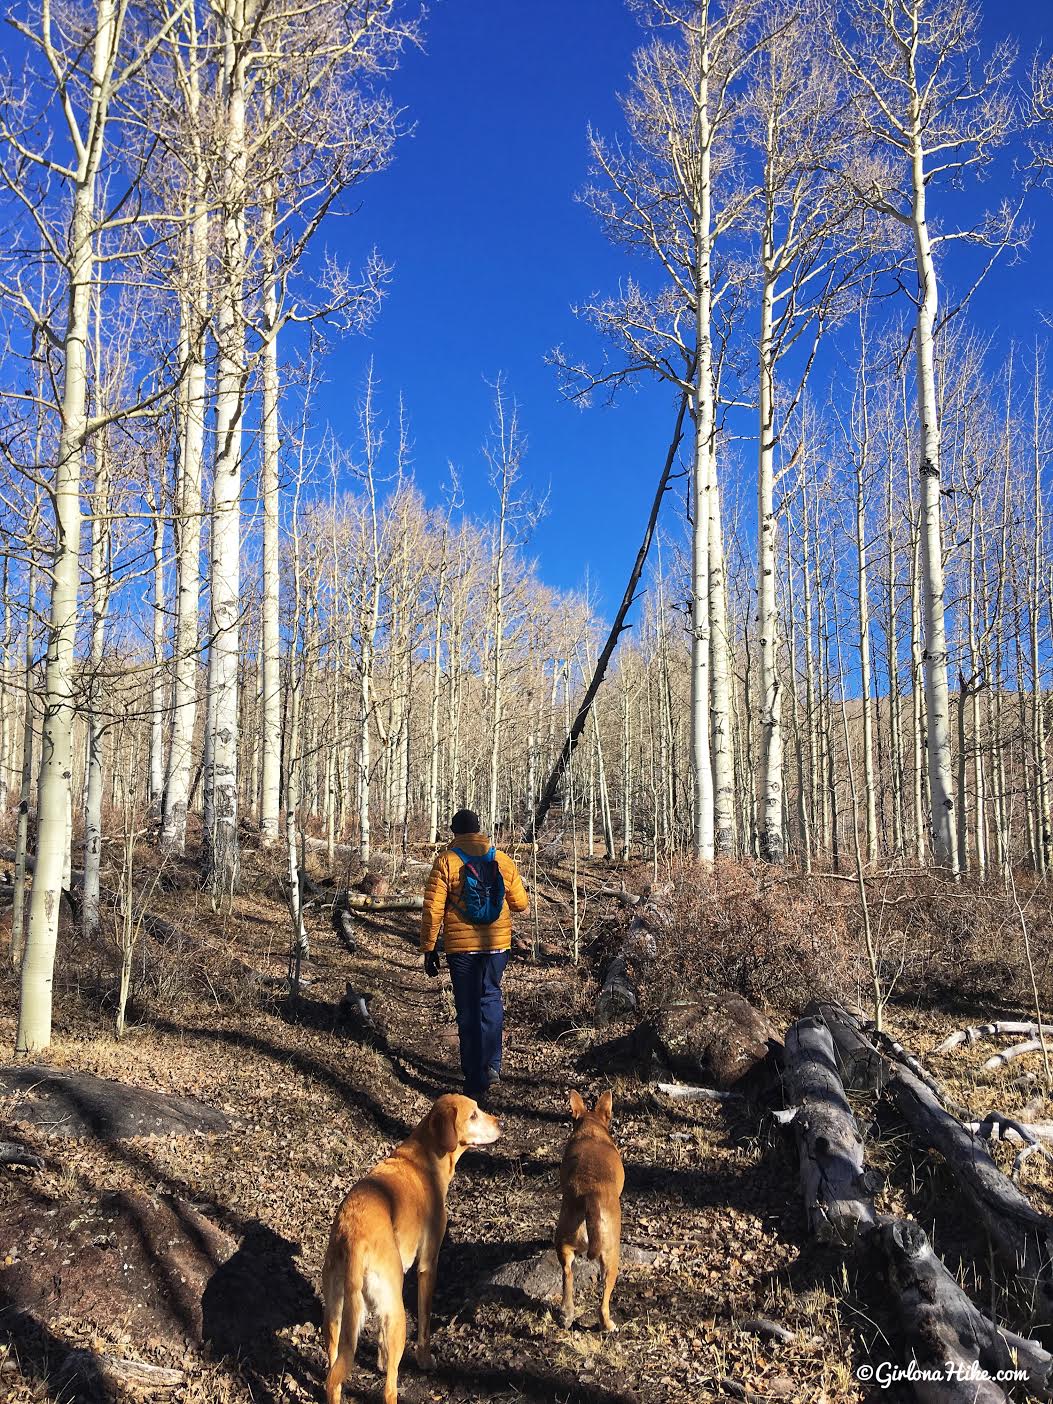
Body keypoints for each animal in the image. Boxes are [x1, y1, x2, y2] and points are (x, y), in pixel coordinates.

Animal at [324, 1095, 499, 1404]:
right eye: (474, 1115)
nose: (500, 1123)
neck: (425, 1158)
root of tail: (352, 1235)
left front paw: (381, 1362)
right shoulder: (428, 1264)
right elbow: (426, 1320)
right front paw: (424, 1359)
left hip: (335, 1315)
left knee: (333, 1378)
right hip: (398, 1316)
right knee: (389, 1390)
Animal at [553, 1089, 626, 1330]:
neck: (591, 1128)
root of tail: (589, 1196)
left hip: (564, 1240)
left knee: (567, 1274)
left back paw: (566, 1314)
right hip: (611, 1257)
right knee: (604, 1300)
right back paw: (608, 1324)